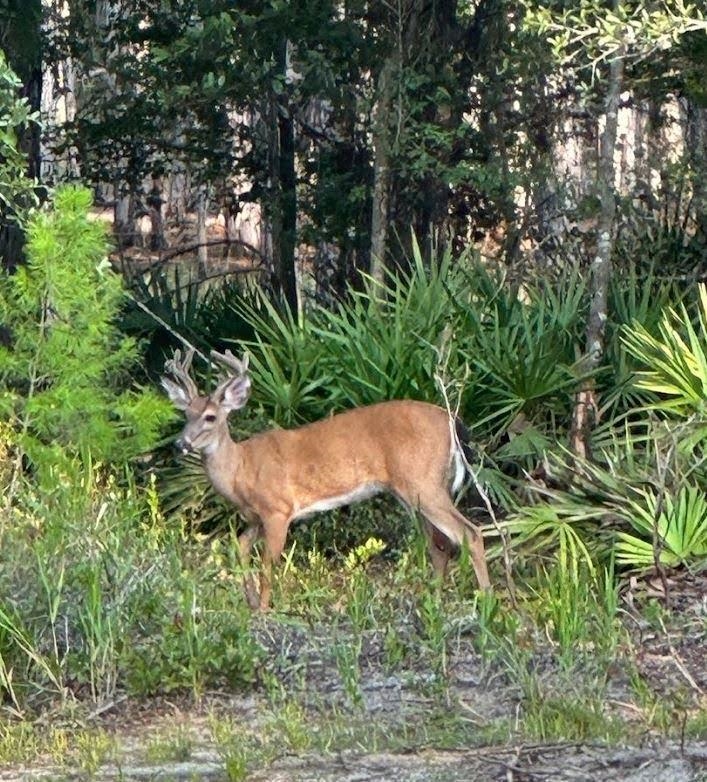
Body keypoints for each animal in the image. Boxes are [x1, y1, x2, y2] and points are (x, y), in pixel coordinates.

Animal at [161, 350, 492, 612]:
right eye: (186, 414)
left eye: (210, 417)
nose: (179, 444)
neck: (240, 471)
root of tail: (452, 422)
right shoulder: (254, 517)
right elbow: (239, 548)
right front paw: (251, 603)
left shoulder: (277, 509)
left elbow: (268, 564)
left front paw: (264, 609)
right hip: (414, 492)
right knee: (439, 544)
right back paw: (433, 601)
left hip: (423, 483)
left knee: (471, 533)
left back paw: (489, 604)